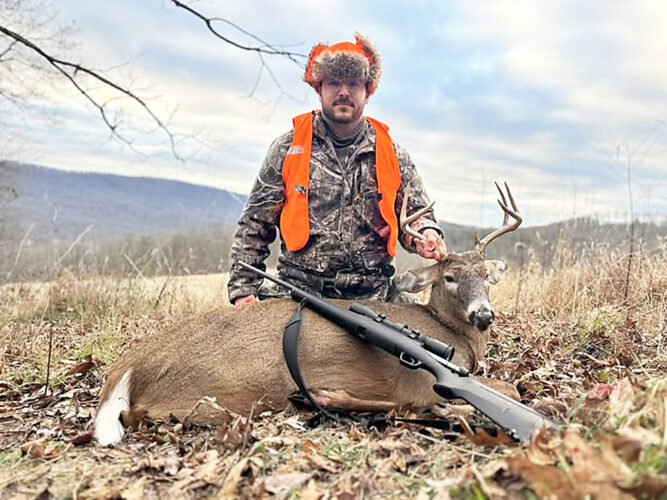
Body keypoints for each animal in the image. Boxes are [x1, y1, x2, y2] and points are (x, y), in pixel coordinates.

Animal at [94, 183, 522, 446]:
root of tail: (129, 363)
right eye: (449, 277)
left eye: (487, 276)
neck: (450, 333)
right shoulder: (421, 381)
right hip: (239, 385)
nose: (484, 315)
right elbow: (512, 390)